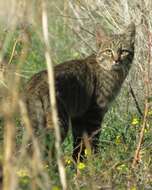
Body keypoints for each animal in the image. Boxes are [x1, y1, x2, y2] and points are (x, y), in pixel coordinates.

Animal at [24, 23, 136, 161]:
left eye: (124, 51)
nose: (116, 60)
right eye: (108, 51)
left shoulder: (78, 116)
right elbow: (93, 141)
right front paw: (95, 160)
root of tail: (34, 85)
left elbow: (79, 144)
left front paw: (78, 162)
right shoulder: (95, 113)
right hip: (59, 122)